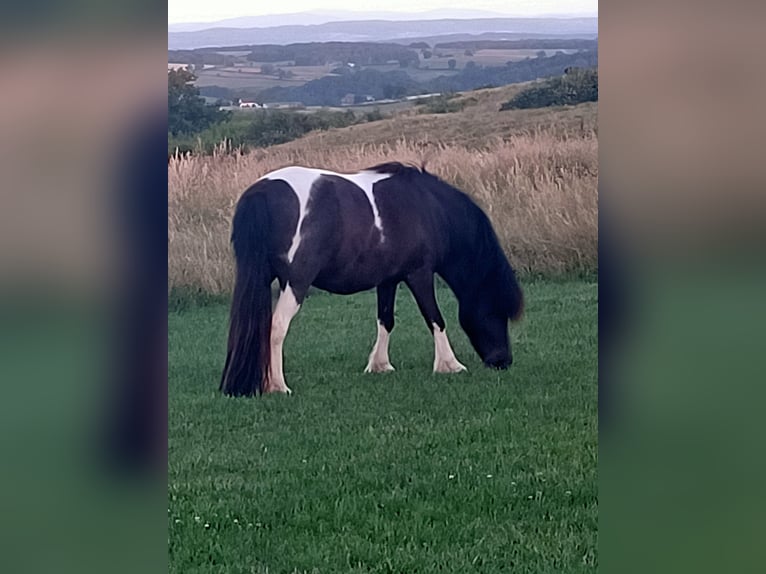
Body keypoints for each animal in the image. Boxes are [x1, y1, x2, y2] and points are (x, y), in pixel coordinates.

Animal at [219, 162, 524, 396]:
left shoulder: (388, 279)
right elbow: (435, 318)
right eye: (497, 312)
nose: (503, 361)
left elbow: (385, 320)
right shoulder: (419, 274)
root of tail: (262, 192)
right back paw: (278, 386)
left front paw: (379, 365)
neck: (428, 207)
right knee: (277, 327)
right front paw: (449, 365)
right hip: (295, 283)